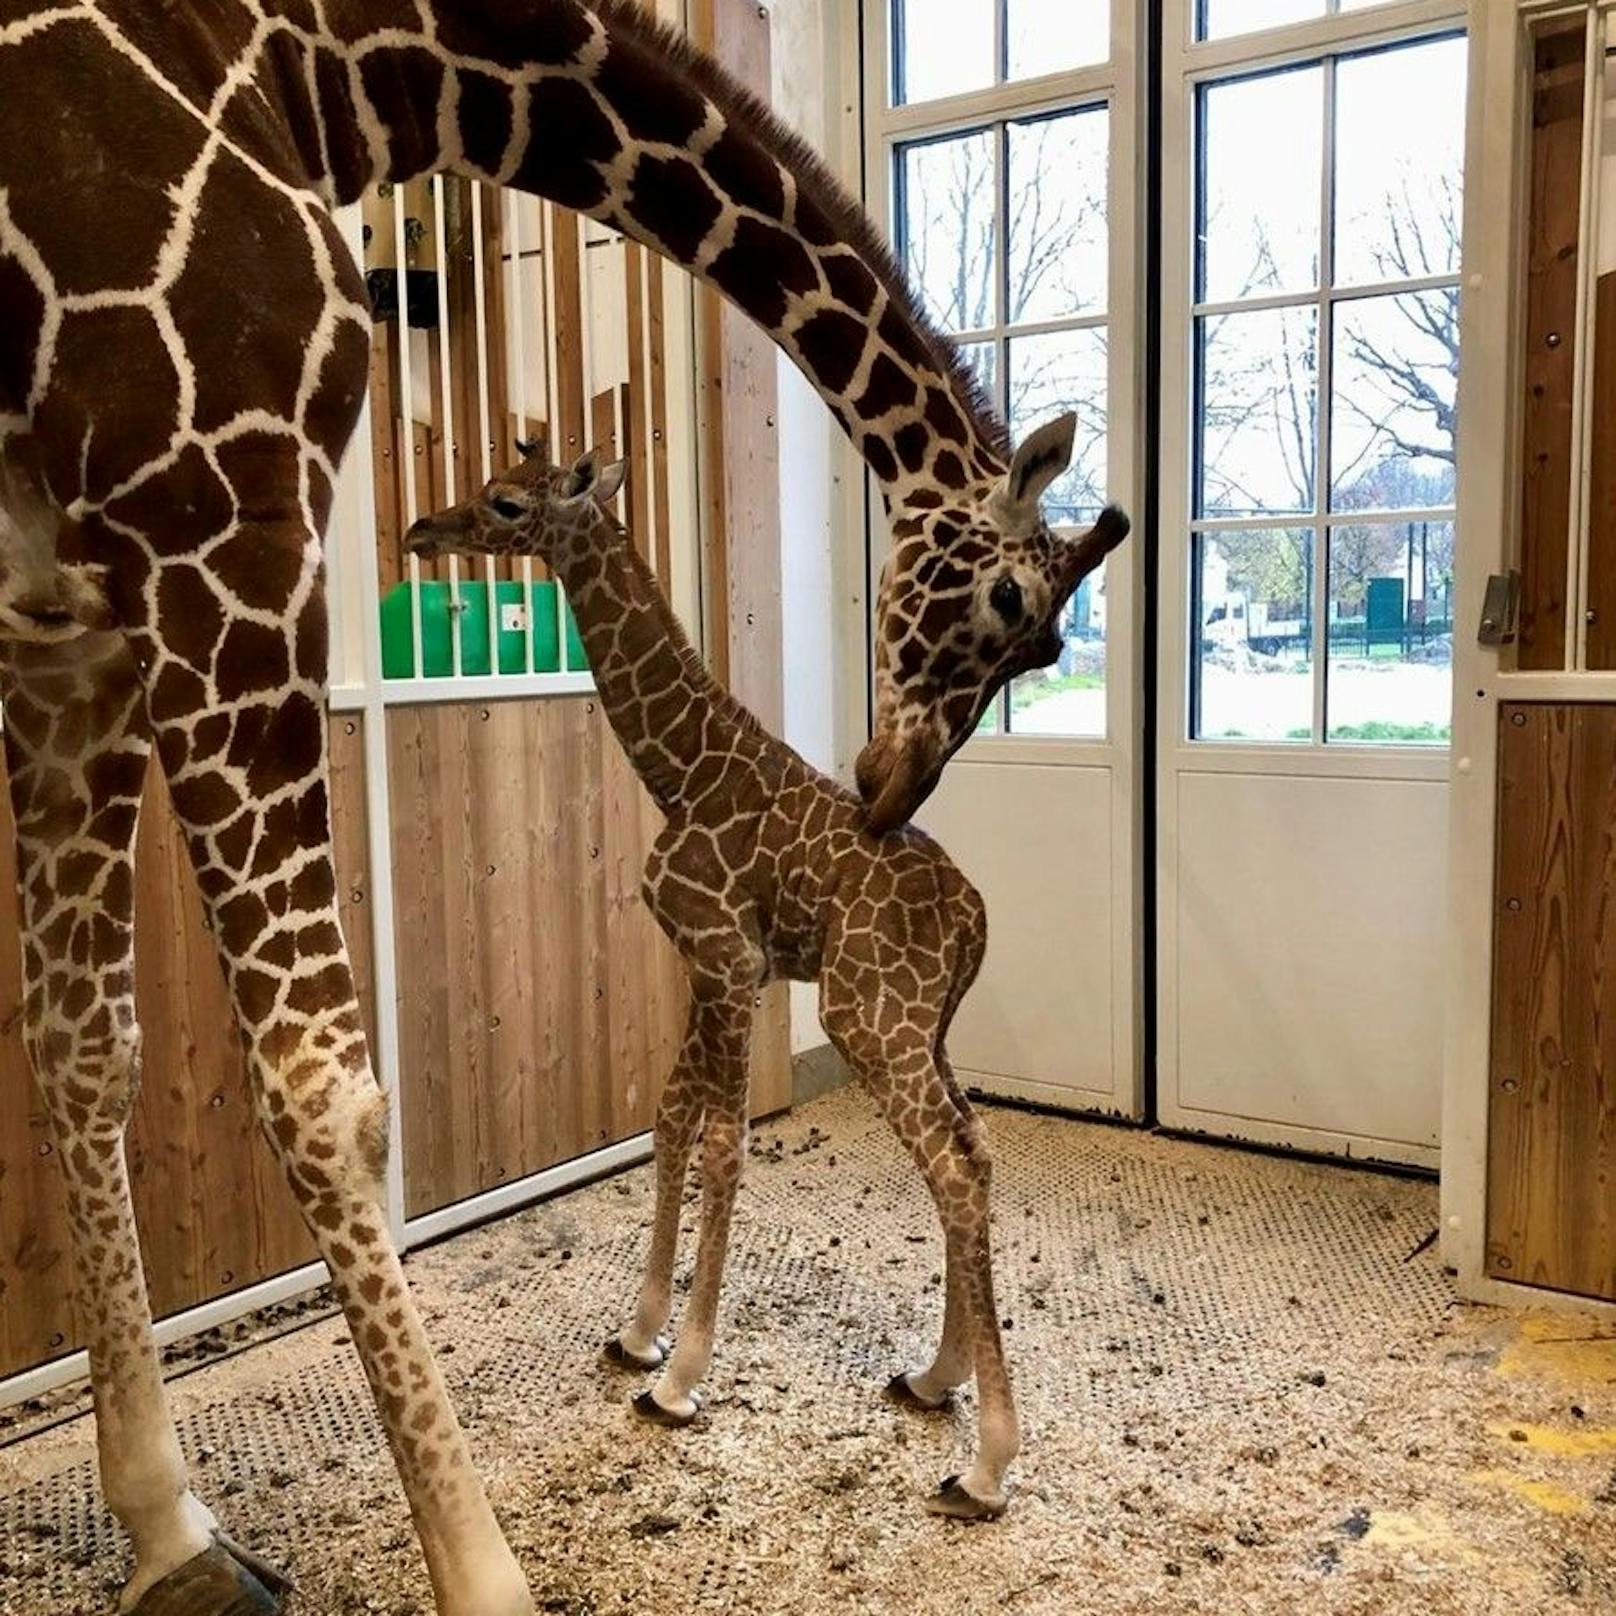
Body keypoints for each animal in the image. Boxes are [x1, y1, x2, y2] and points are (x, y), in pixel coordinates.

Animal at [410, 449, 1131, 1519]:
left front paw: (680, 1378)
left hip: (865, 1014)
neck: (677, 769)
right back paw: (934, 1377)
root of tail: (975, 924)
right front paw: (639, 1334)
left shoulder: (726, 956)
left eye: (504, 501)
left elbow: (722, 1146)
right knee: (976, 1145)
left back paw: (986, 1465)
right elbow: (671, 1115)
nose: (421, 530)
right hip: (922, 1025)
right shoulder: (708, 963)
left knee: (954, 1165)